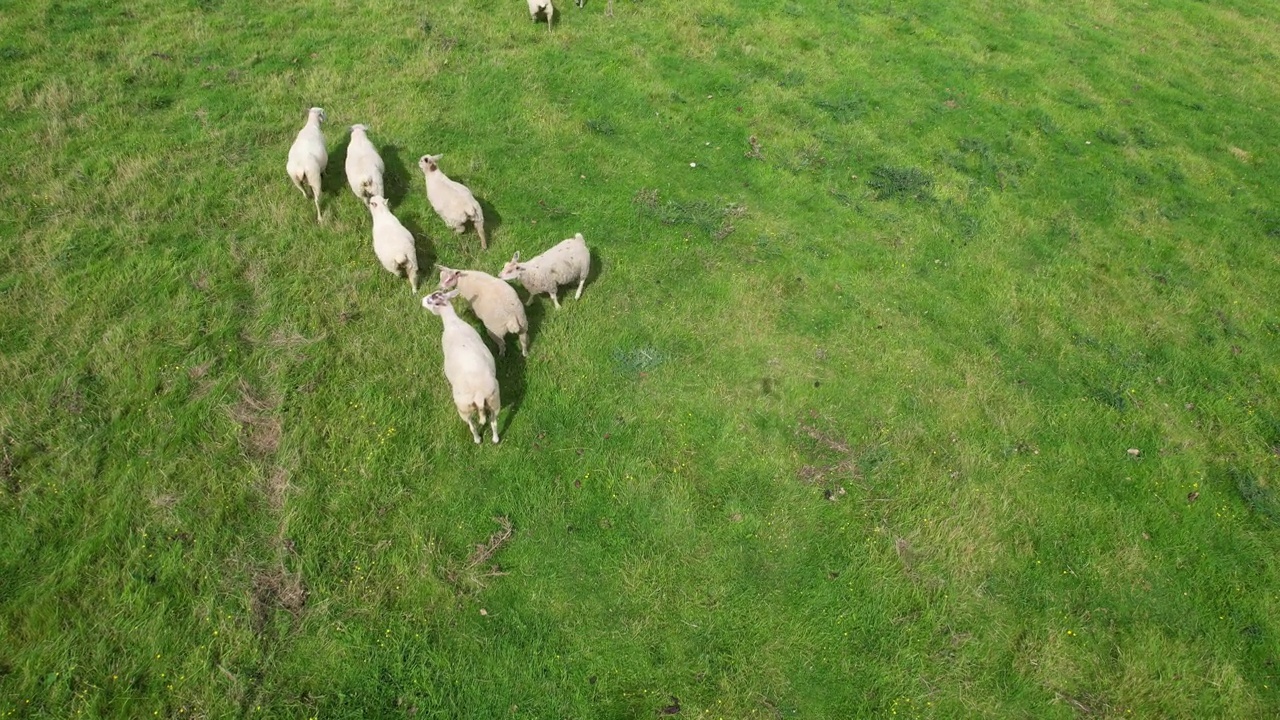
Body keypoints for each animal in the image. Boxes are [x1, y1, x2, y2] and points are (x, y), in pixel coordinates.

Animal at [422, 288, 496, 440]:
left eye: (431, 300)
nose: (422, 300)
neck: (452, 321)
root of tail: (479, 395)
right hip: (494, 400)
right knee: (494, 422)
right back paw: (495, 439)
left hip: (463, 408)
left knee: (472, 426)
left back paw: (477, 439)